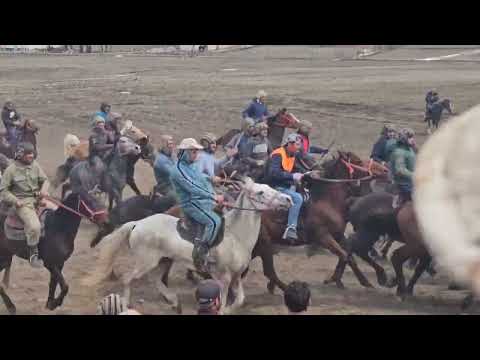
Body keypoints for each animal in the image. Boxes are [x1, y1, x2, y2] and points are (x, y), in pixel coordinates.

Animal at [83, 179, 292, 314]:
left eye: (270, 187)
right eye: (260, 192)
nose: (288, 199)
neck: (235, 235)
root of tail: (137, 224)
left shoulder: (236, 276)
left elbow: (239, 300)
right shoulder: (223, 278)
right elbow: (224, 302)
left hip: (164, 261)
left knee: (157, 281)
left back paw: (175, 302)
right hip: (146, 263)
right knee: (128, 279)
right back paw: (127, 304)